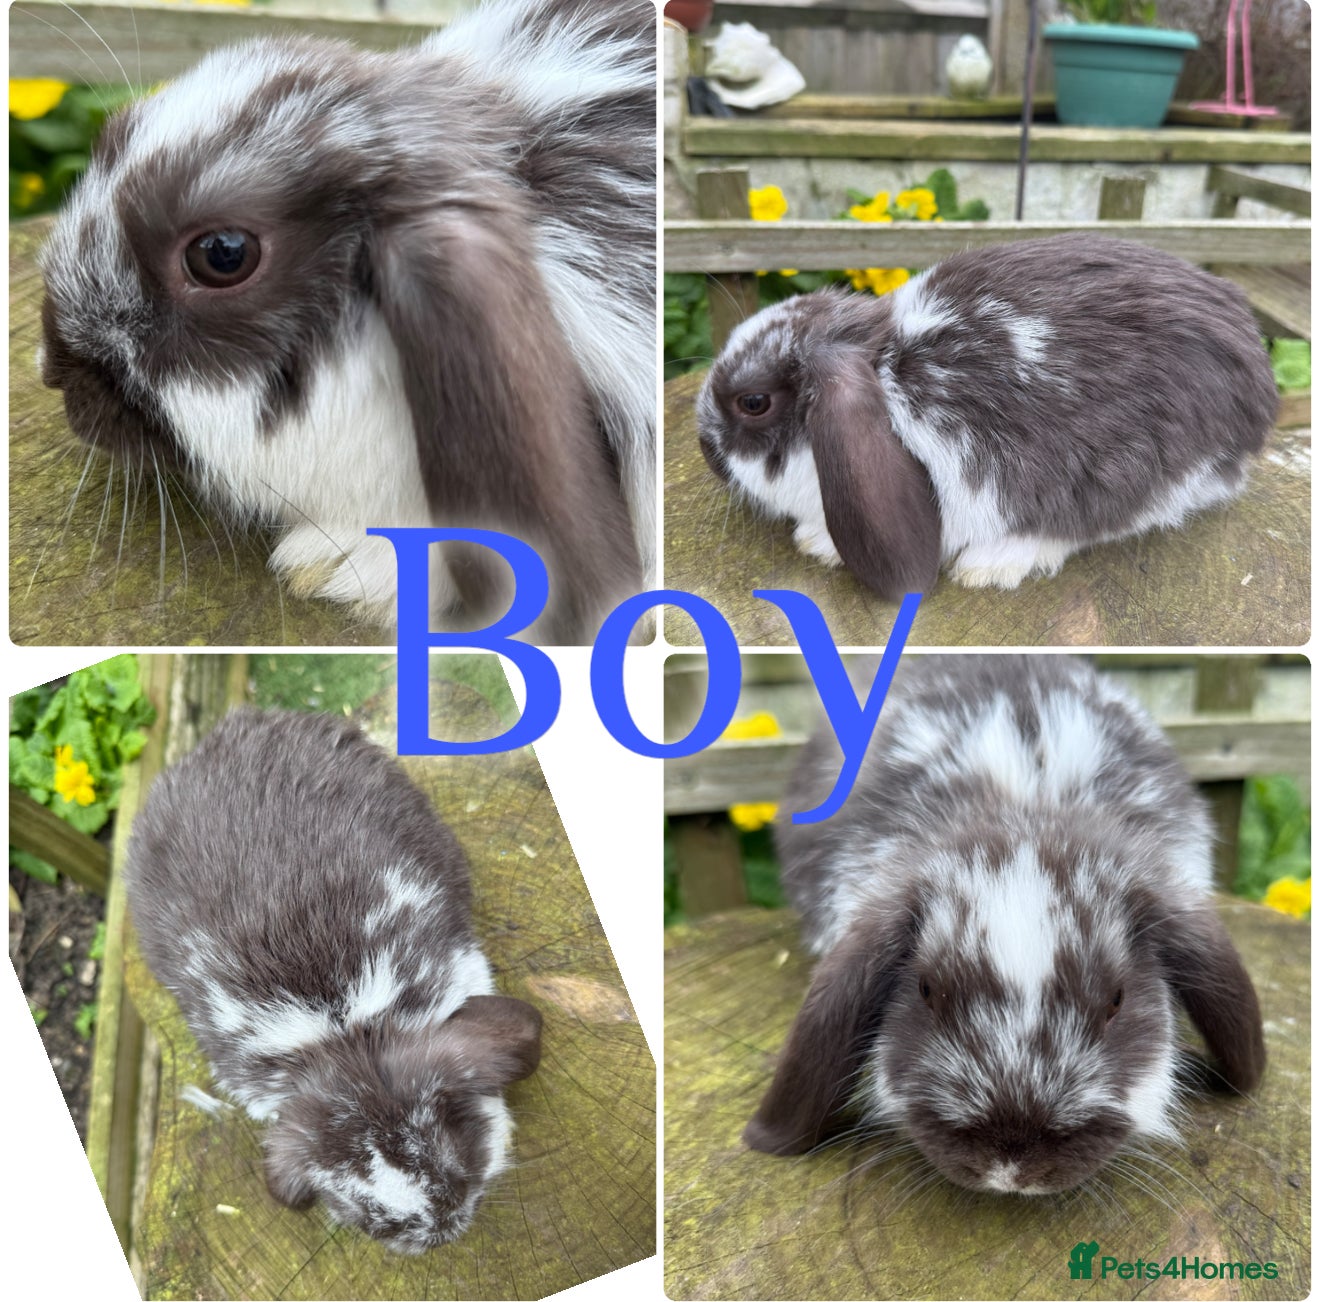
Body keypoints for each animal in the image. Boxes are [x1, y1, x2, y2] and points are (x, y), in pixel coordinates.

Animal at [697, 234, 1278, 601]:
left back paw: (993, 563)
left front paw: (818, 542)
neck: (887, 374)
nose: (707, 453)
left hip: (1127, 472)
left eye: (754, 402)